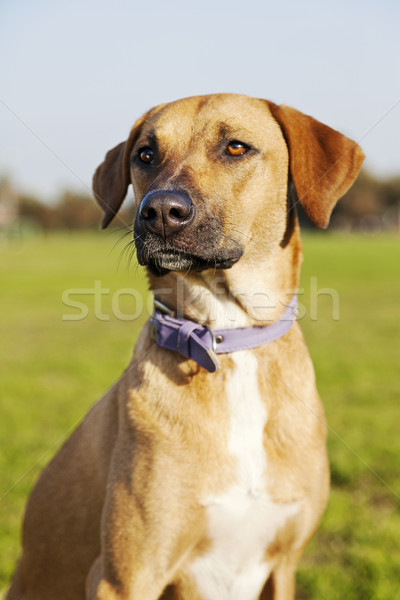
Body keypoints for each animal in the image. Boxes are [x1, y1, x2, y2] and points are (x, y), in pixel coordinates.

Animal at [6, 94, 364, 600]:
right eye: (146, 155)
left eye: (236, 147)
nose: (160, 211)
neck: (227, 340)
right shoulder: (126, 576)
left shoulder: (284, 565)